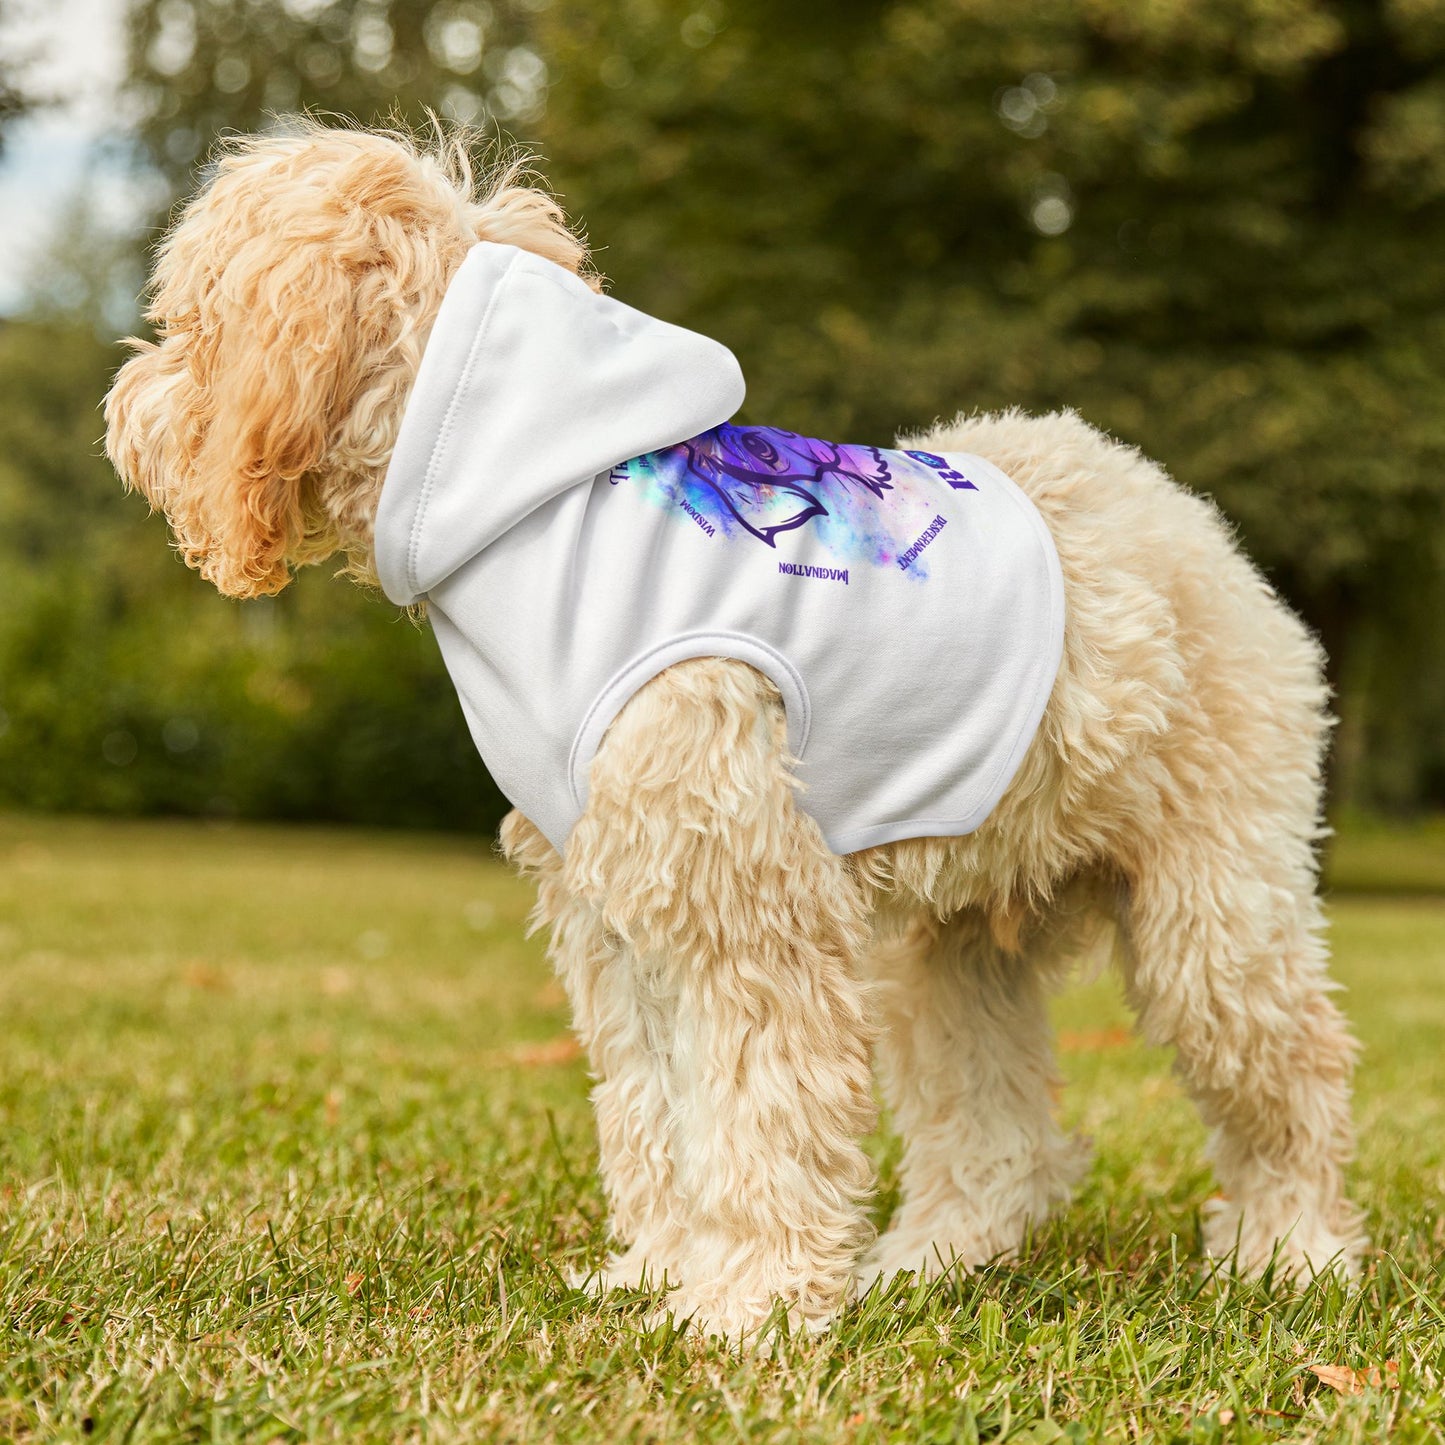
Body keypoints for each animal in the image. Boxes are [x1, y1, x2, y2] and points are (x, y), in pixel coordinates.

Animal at [106, 124, 1358, 1340]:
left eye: (189, 321)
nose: (124, 406)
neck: (528, 501)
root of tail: (1183, 517)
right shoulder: (616, 910)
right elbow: (655, 1109)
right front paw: (661, 1272)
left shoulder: (744, 905)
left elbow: (759, 1110)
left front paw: (745, 1304)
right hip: (952, 943)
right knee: (996, 1130)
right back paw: (931, 1260)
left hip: (1212, 910)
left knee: (1292, 1071)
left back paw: (1291, 1252)